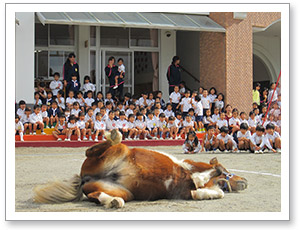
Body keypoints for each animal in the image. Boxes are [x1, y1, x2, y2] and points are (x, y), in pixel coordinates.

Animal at [34, 129, 247, 208]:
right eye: (229, 171)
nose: (244, 182)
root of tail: (83, 177)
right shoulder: (188, 171)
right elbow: (207, 172)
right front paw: (203, 176)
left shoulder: (183, 192)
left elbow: (211, 192)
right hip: (116, 151)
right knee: (94, 149)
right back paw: (114, 135)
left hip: (120, 191)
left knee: (99, 196)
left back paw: (114, 202)